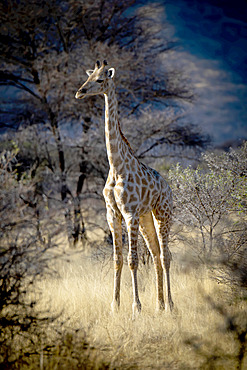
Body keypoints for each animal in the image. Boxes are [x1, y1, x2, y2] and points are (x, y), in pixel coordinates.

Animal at [75, 60, 174, 316]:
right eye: (89, 77)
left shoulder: (129, 214)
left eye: (100, 80)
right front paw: (114, 305)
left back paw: (170, 305)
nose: (80, 92)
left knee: (166, 256)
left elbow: (132, 260)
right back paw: (159, 305)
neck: (116, 165)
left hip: (163, 215)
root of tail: (168, 187)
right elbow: (117, 259)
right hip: (147, 218)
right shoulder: (113, 214)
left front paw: (136, 307)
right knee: (156, 254)